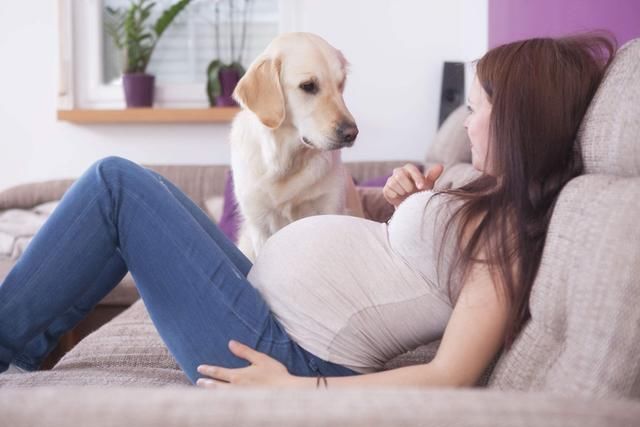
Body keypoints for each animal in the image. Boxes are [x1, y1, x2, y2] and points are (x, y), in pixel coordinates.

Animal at [230, 32, 360, 260]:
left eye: (341, 84)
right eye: (308, 86)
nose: (352, 133)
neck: (286, 162)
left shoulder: (330, 209)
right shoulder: (260, 225)